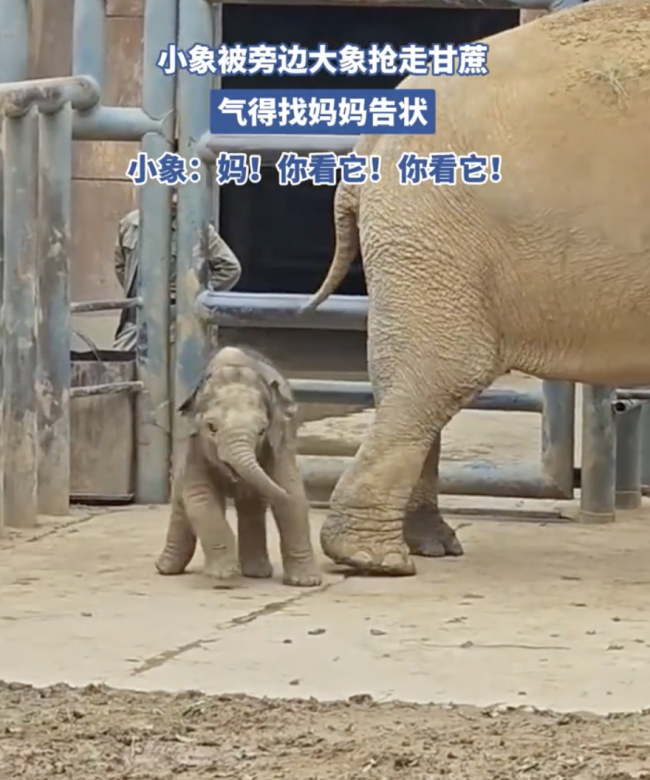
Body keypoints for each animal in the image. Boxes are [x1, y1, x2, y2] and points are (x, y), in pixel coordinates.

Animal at [155, 345, 322, 587]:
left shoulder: (280, 442)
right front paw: (223, 575)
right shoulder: (196, 446)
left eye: (262, 430)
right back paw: (166, 570)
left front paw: (306, 582)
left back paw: (257, 573)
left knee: (251, 506)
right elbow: (201, 498)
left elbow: (292, 493)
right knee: (182, 503)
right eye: (211, 427)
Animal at [302, 0, 650, 576]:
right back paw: (376, 559)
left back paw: (427, 544)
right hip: (436, 234)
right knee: (439, 373)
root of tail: (370, 144)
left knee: (409, 381)